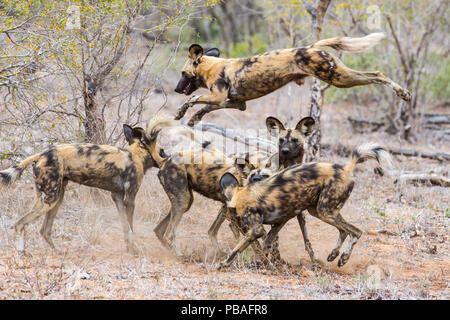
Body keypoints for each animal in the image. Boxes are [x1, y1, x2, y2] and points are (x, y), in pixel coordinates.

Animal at [173, 32, 412, 126]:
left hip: (338, 78)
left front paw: (180, 113)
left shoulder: (219, 96)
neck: (211, 67)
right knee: (376, 74)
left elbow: (192, 99)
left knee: (377, 75)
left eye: (182, 74)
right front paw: (193, 119)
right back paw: (404, 93)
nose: (175, 89)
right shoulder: (236, 103)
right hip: (339, 75)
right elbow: (206, 107)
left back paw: (403, 93)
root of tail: (312, 46)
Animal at [218, 141, 394, 268]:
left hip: (324, 211)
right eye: (253, 177)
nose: (228, 215)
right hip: (319, 211)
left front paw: (224, 264)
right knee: (344, 231)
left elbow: (238, 249)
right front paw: (264, 263)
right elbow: (266, 244)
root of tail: (345, 169)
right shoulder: (280, 220)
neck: (241, 195)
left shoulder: (257, 229)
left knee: (356, 232)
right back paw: (333, 255)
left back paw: (343, 258)